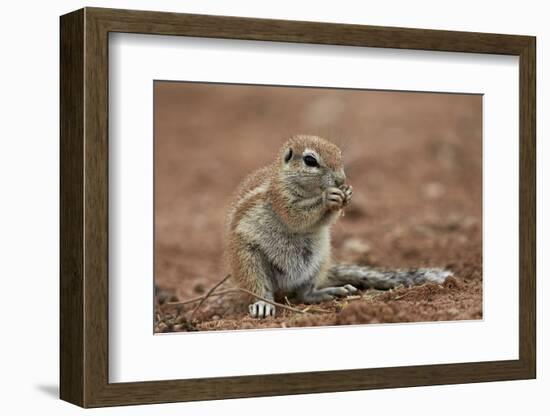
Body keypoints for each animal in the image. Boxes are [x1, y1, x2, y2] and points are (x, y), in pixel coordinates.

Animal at [225, 135, 452, 316]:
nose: (341, 179)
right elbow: (296, 216)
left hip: (318, 260)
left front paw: (347, 194)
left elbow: (324, 220)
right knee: (259, 288)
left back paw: (327, 292)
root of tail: (284, 286)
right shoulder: (280, 197)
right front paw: (328, 197)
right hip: (249, 261)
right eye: (310, 160)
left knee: (304, 294)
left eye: (339, 153)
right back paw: (262, 305)